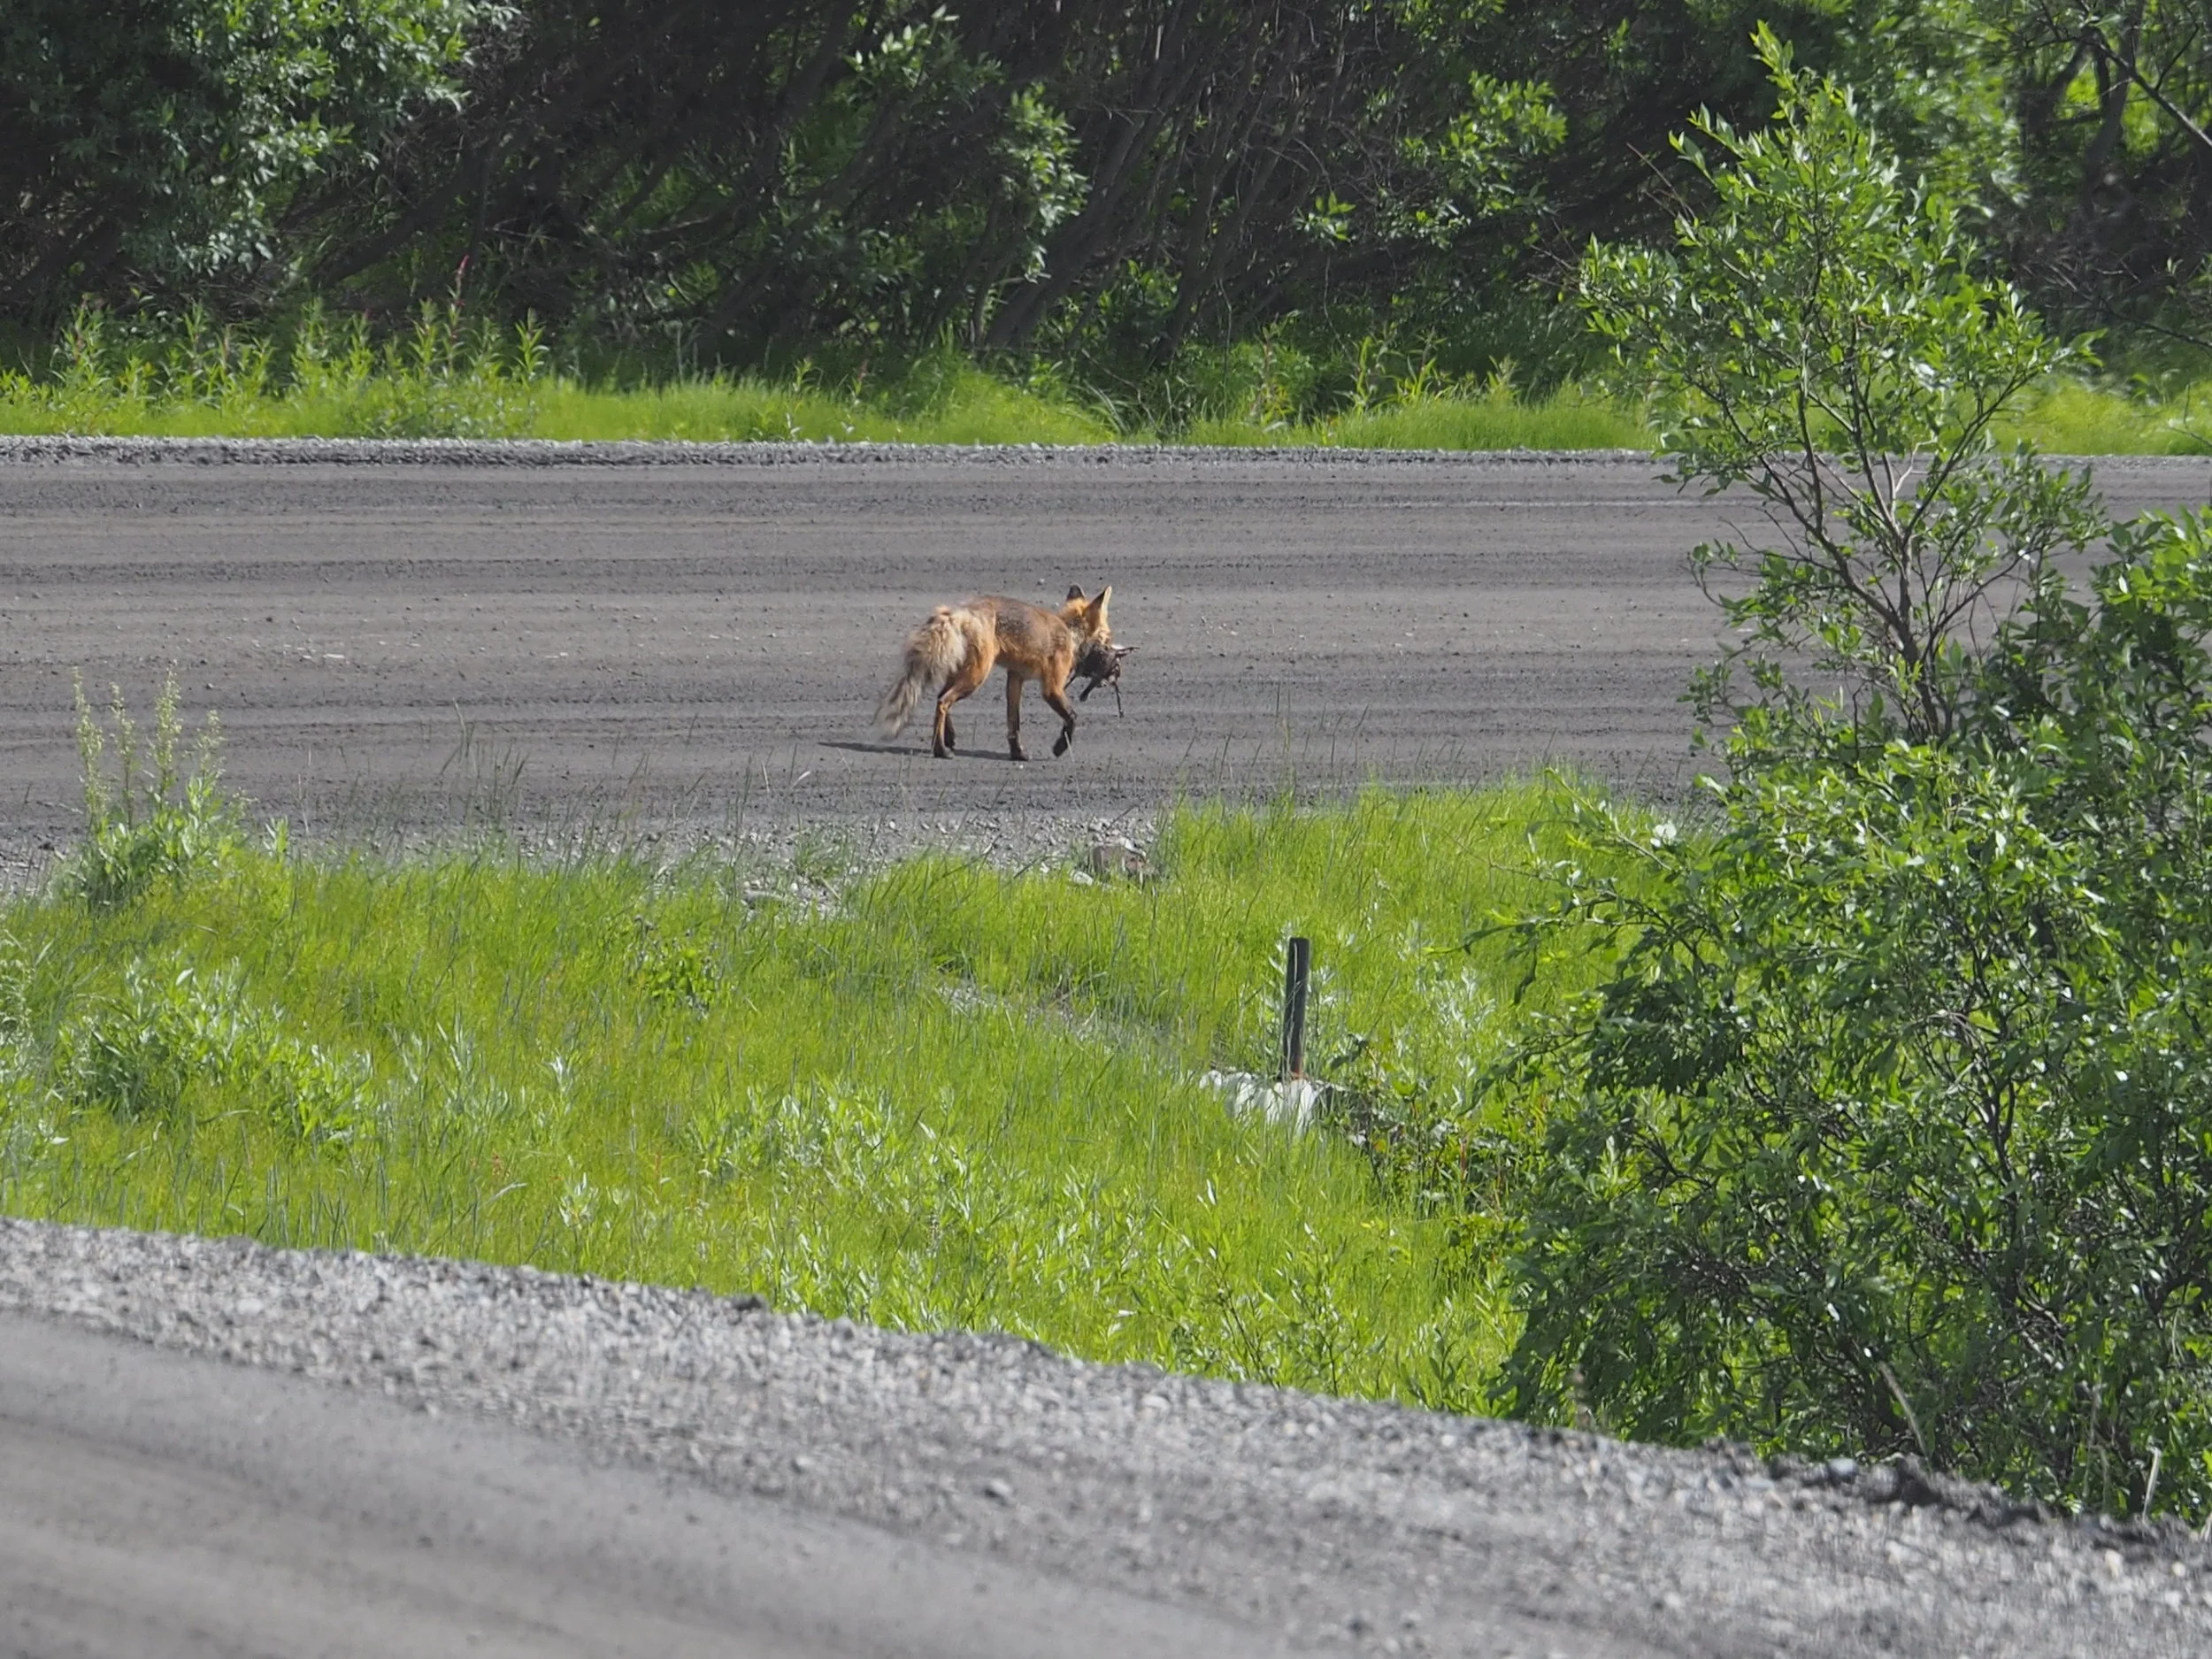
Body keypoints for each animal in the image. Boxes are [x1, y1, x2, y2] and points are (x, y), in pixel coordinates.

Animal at [875, 585, 1116, 761]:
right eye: (1108, 637)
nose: (1114, 658)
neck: (1070, 632)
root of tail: (958, 611)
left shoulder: (1015, 678)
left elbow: (1013, 722)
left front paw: (1018, 753)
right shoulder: (1051, 688)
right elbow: (1072, 717)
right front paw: (1060, 747)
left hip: (964, 673)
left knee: (941, 697)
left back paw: (949, 738)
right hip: (977, 675)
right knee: (943, 701)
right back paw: (940, 749)